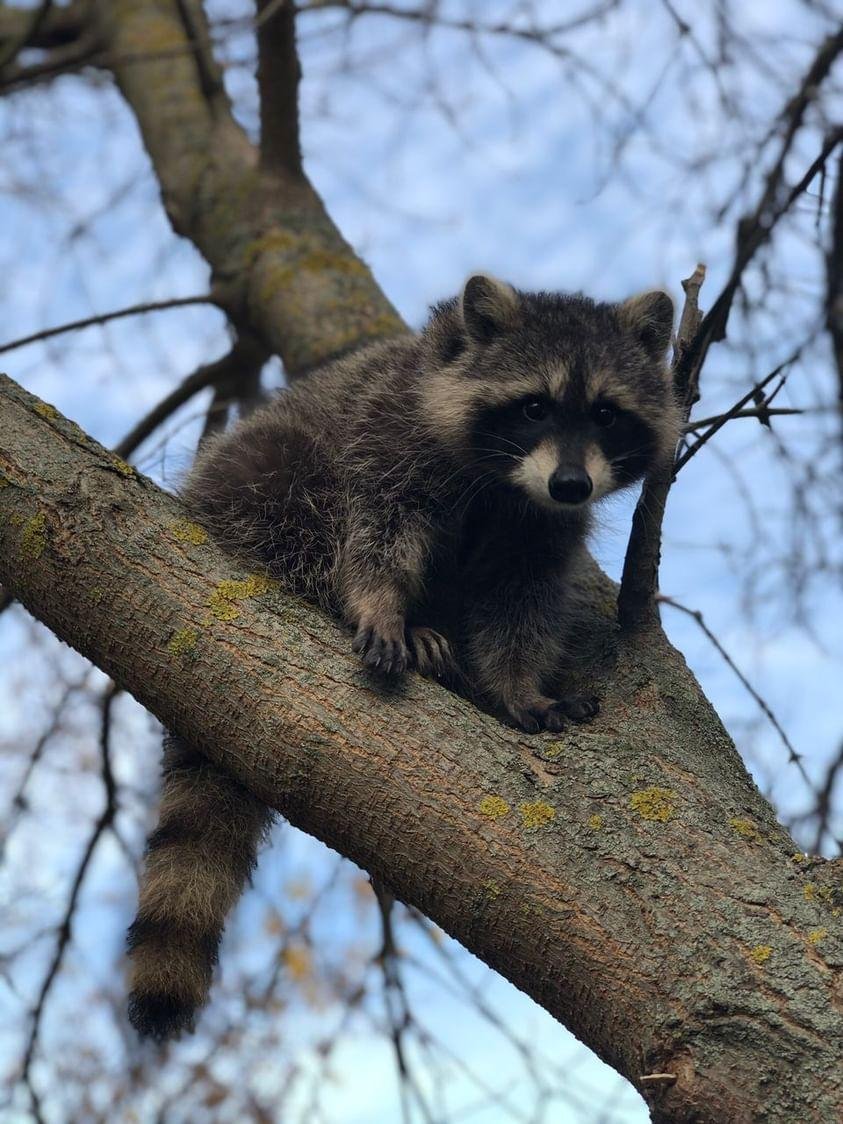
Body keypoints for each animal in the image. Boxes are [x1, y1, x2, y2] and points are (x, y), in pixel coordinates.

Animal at [127, 276, 678, 1038]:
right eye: (534, 406)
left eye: (605, 413)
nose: (570, 483)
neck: (504, 480)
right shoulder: (388, 427)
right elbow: (375, 525)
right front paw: (376, 602)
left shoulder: (539, 522)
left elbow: (521, 597)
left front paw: (514, 684)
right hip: (247, 476)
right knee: (292, 481)